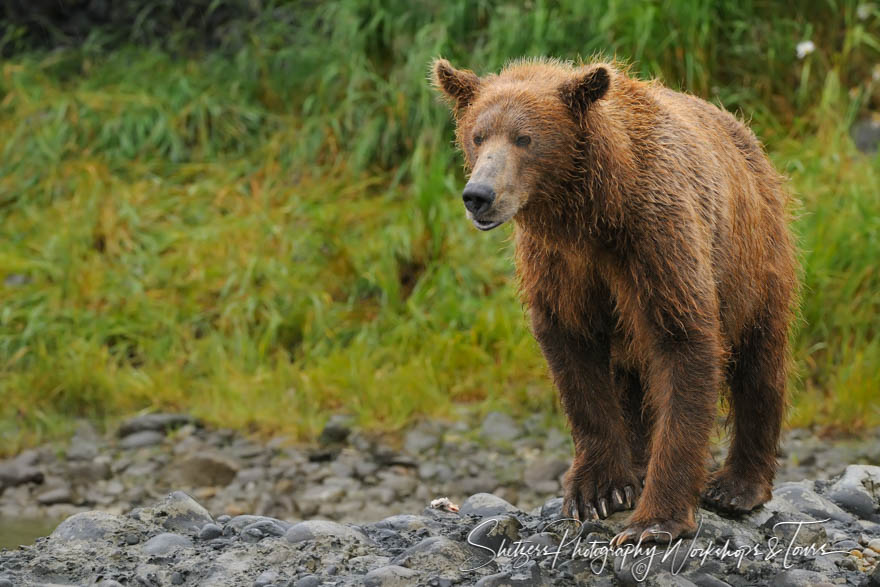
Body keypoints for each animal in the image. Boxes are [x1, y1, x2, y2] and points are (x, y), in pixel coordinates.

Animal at [434, 57, 796, 544]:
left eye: (524, 138)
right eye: (477, 135)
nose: (479, 196)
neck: (591, 213)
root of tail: (748, 137)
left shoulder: (656, 238)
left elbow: (685, 344)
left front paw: (655, 520)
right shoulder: (562, 267)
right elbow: (574, 360)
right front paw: (598, 491)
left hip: (755, 257)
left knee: (759, 362)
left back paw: (738, 486)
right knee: (631, 380)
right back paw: (637, 468)